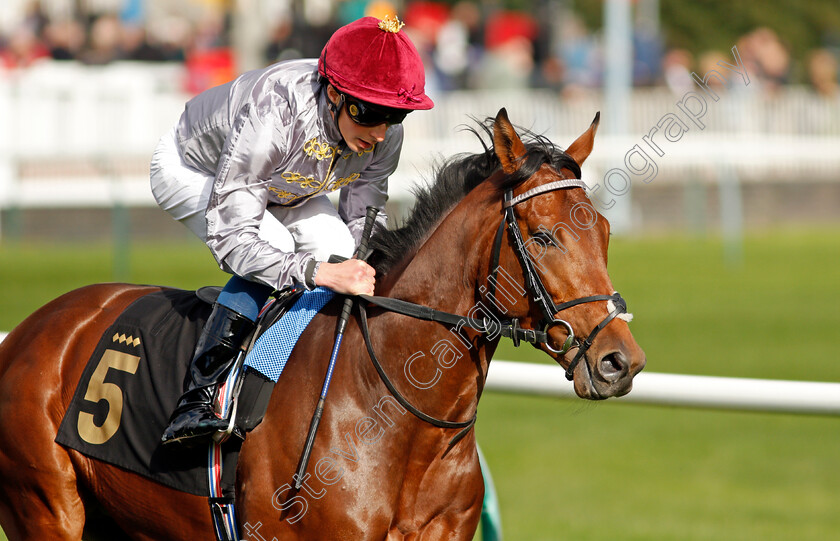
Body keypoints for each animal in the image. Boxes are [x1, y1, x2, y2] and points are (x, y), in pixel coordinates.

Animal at [0, 109, 648, 540]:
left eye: (603, 231)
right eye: (543, 237)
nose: (621, 360)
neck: (396, 415)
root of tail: (32, 329)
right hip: (45, 508)